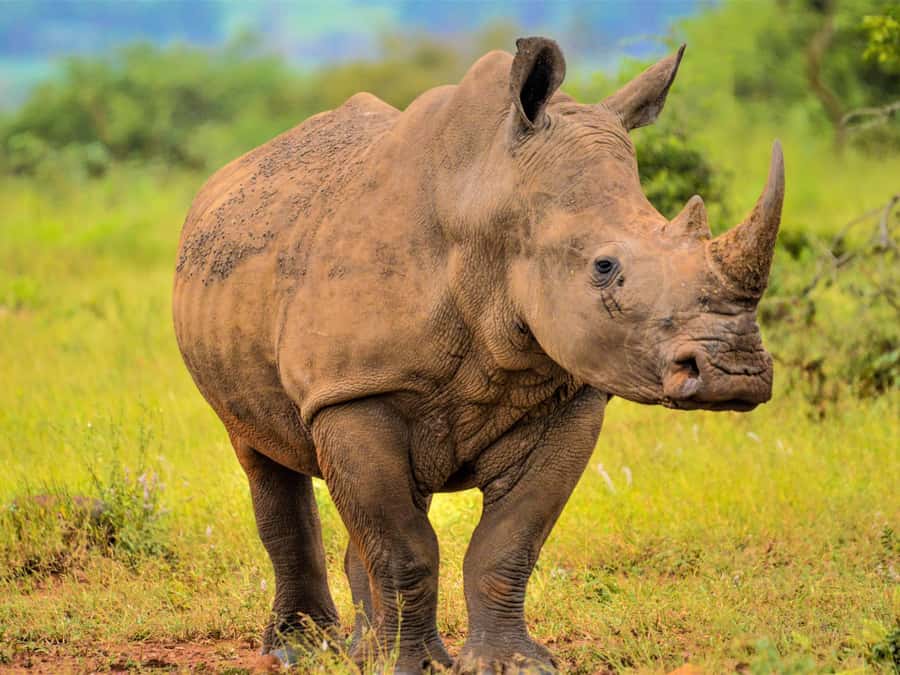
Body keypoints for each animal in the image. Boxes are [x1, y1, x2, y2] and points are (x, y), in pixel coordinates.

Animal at [173, 37, 784, 673]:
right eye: (604, 267)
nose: (734, 374)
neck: (492, 201)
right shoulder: (352, 390)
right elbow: (403, 546)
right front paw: (410, 666)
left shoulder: (572, 399)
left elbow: (509, 543)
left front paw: (509, 663)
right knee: (262, 455)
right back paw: (298, 649)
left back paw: (363, 650)